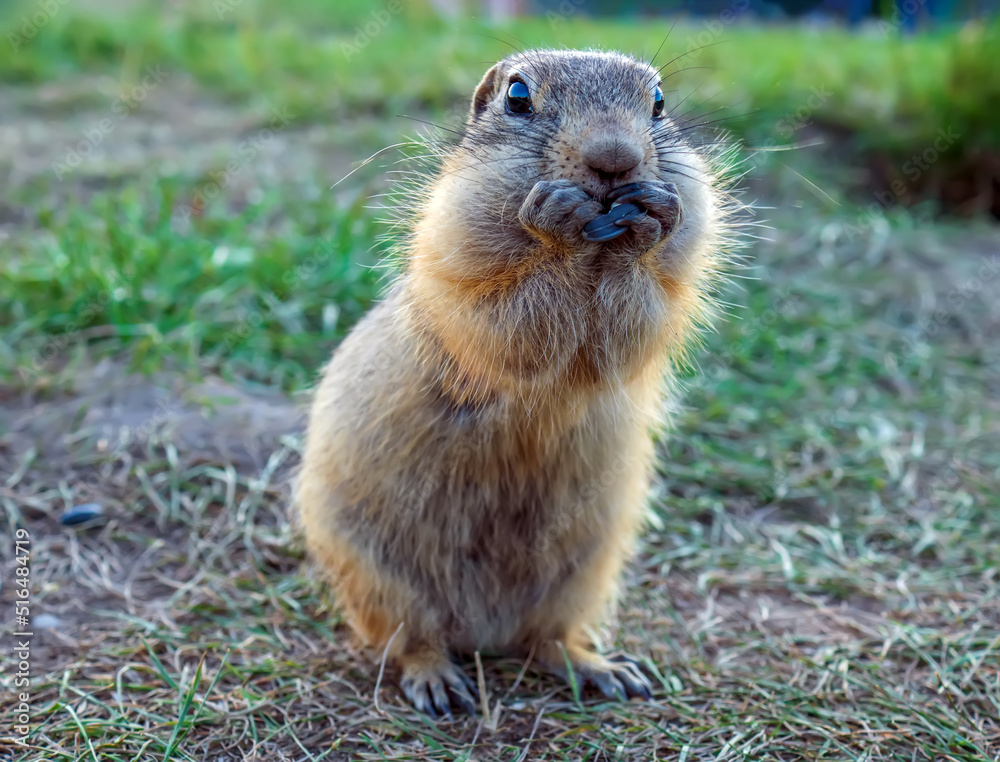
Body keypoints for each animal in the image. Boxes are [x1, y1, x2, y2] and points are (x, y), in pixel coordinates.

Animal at [292, 49, 740, 720]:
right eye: (518, 97)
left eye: (659, 102)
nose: (615, 158)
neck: (594, 257)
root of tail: (484, 633)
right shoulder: (453, 253)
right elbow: (504, 315)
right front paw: (555, 220)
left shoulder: (670, 279)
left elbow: (643, 313)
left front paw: (648, 221)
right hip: (375, 573)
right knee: (410, 638)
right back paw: (439, 684)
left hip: (587, 568)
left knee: (545, 639)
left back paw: (602, 669)